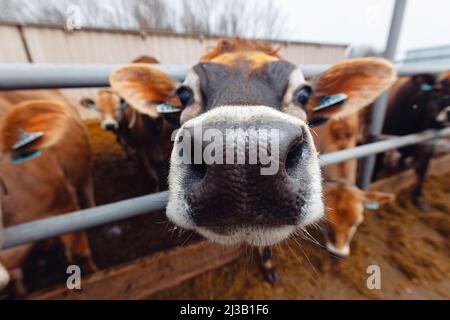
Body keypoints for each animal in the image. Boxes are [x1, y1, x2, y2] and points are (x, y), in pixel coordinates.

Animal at [372, 71, 450, 211]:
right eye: (437, 90)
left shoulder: (428, 145)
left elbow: (422, 171)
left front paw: (418, 199)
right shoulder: (381, 139)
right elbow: (377, 164)